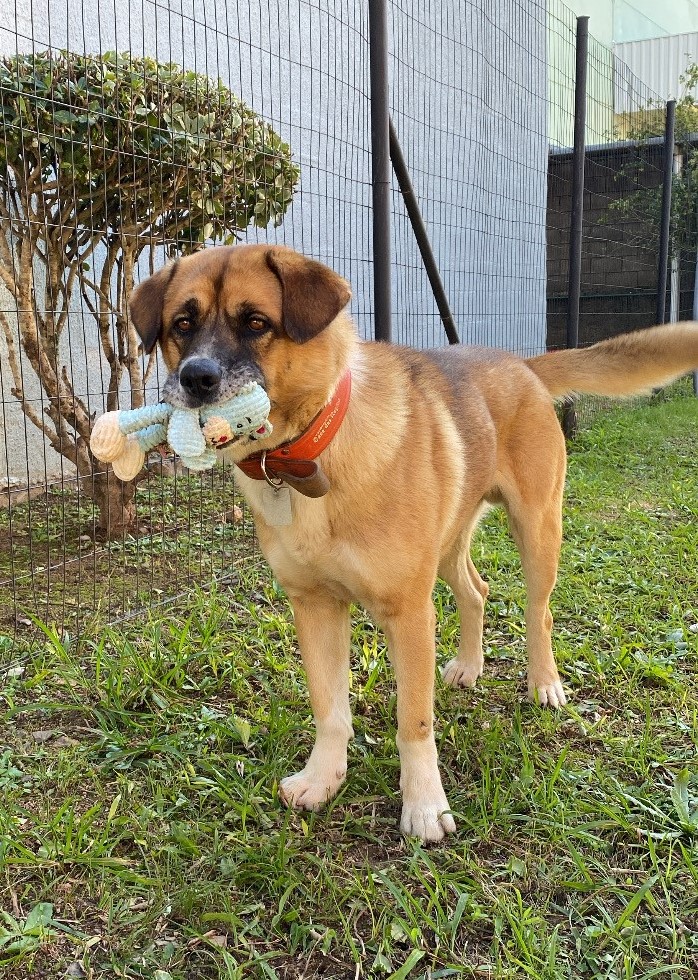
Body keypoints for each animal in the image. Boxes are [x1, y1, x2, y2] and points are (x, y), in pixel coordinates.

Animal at [129, 245, 696, 844]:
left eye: (256, 322)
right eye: (181, 325)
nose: (195, 378)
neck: (312, 450)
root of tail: (522, 364)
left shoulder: (409, 613)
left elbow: (414, 723)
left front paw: (424, 805)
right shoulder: (315, 607)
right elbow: (330, 709)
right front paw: (323, 778)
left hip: (538, 530)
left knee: (537, 611)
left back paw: (545, 684)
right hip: (448, 546)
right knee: (477, 591)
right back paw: (469, 666)